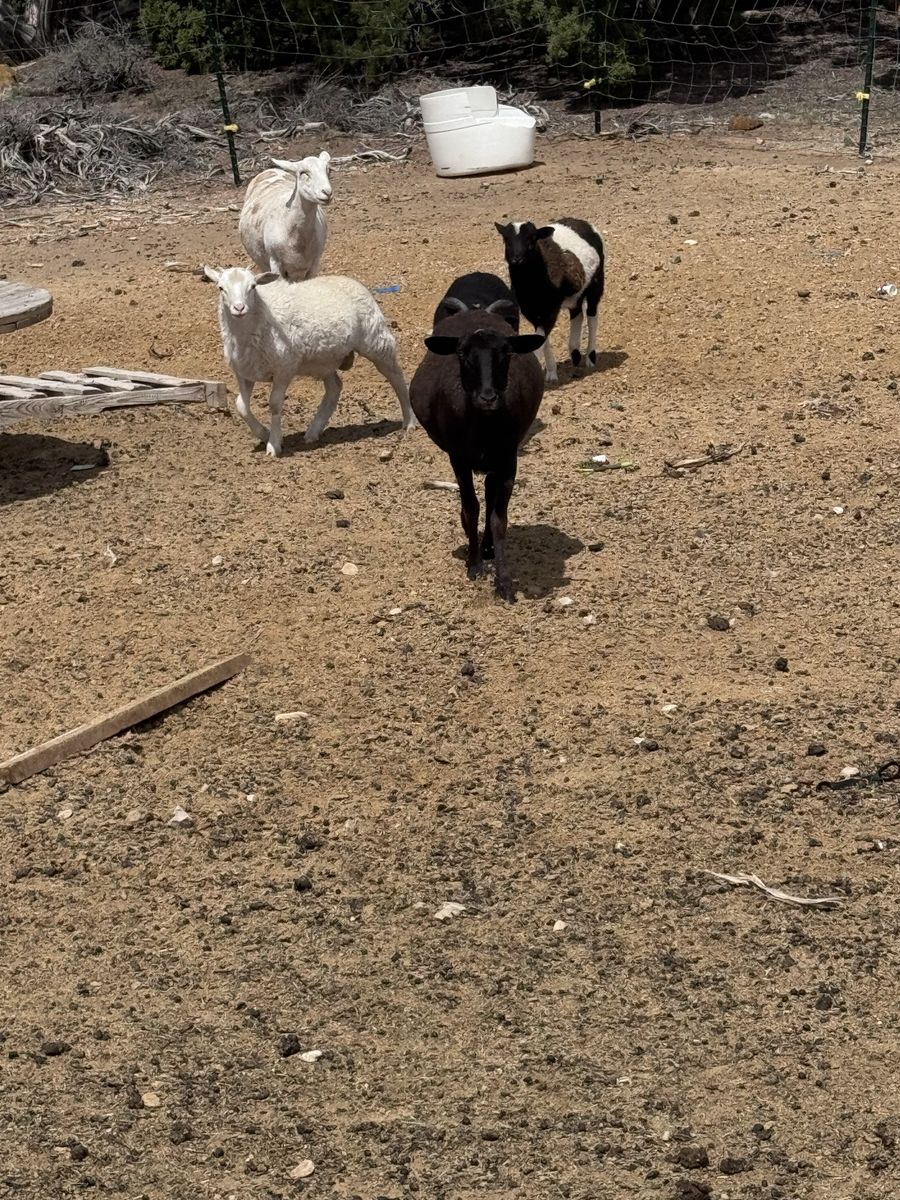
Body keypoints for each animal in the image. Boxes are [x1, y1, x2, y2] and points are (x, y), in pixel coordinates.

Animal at [204, 265, 416, 457]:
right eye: (221, 288)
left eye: (253, 286)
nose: (239, 308)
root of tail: (349, 280)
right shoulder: (244, 372)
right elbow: (241, 406)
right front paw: (264, 433)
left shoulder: (284, 368)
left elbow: (275, 404)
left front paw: (274, 444)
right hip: (325, 360)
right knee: (334, 388)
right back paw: (313, 432)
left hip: (375, 340)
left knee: (396, 376)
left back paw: (409, 421)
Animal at [239, 152, 333, 282]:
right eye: (303, 172)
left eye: (328, 170)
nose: (327, 193)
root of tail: (269, 169)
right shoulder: (275, 263)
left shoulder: (314, 265)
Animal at [409, 309, 545, 602]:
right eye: (461, 354)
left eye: (507, 353)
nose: (488, 398)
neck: (484, 427)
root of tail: (475, 310)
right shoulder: (459, 460)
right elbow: (471, 508)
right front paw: (474, 565)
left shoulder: (508, 461)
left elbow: (499, 519)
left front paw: (504, 581)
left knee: (490, 496)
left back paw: (488, 548)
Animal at [495, 218, 605, 384]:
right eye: (507, 241)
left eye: (532, 239)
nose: (516, 259)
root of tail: (582, 222)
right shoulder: (533, 313)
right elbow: (542, 339)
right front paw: (551, 373)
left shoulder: (550, 311)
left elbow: (540, 339)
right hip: (576, 294)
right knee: (577, 314)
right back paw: (575, 353)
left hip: (596, 283)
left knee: (592, 317)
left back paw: (590, 358)